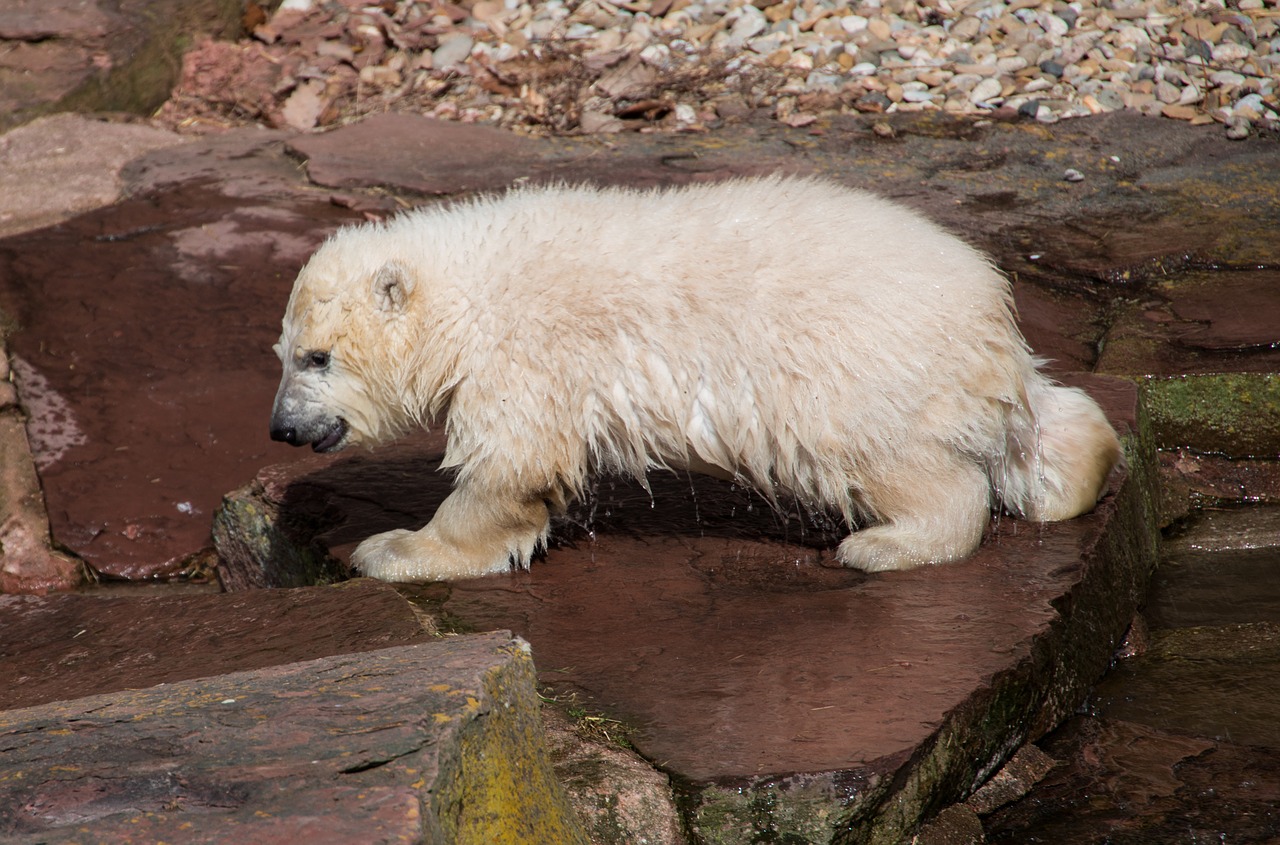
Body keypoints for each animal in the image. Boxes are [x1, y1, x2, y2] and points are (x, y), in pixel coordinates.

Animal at [270, 177, 1121, 583]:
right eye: (284, 352)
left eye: (318, 357)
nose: (281, 426)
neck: (470, 288)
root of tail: (988, 313)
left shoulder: (527, 353)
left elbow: (511, 465)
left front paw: (392, 548)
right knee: (1041, 425)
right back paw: (1077, 474)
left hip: (859, 374)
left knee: (908, 468)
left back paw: (880, 545)